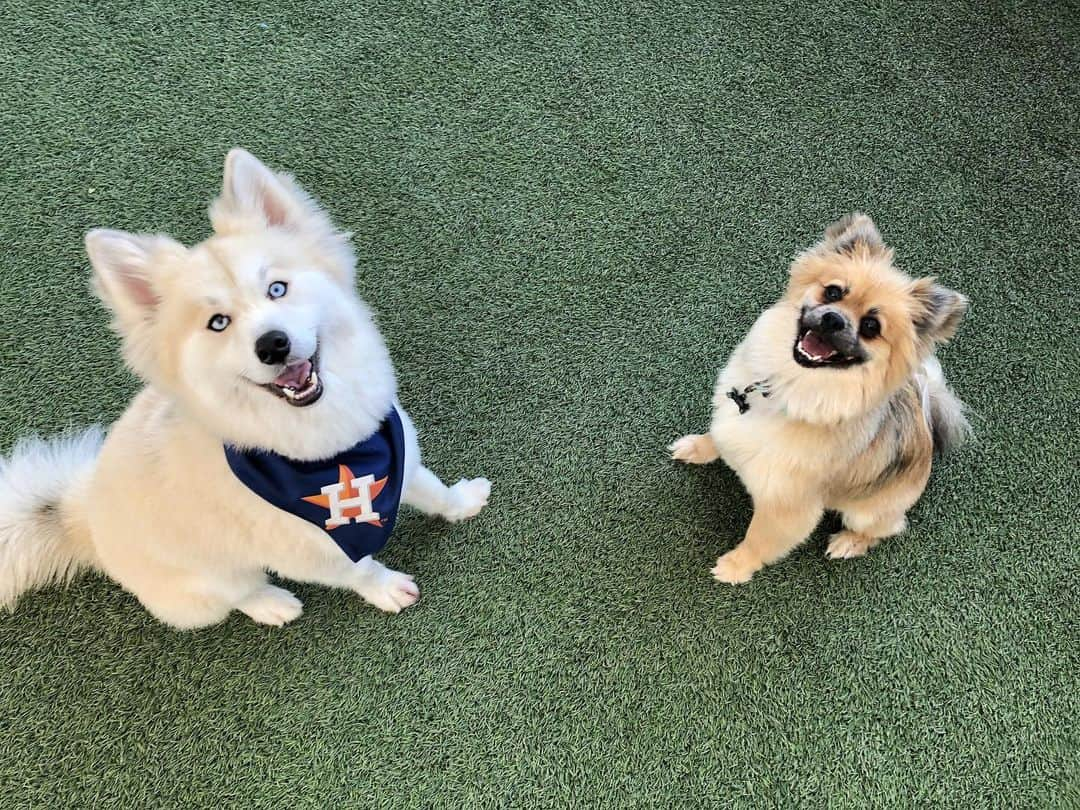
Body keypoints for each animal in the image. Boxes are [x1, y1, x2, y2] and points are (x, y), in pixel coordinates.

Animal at [669, 216, 967, 583]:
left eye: (871, 326)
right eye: (834, 292)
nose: (833, 319)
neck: (785, 387)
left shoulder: (787, 507)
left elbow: (758, 540)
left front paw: (735, 567)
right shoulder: (732, 420)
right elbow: (718, 438)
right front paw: (696, 448)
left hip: (867, 511)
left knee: (888, 528)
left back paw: (849, 542)